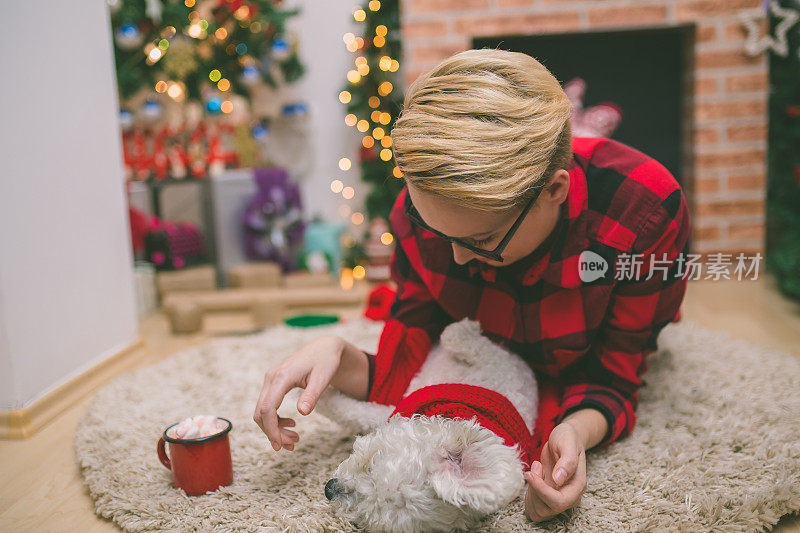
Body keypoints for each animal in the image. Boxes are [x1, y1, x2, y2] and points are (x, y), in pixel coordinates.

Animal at [316, 318, 540, 528]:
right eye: (371, 467)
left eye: (362, 520)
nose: (329, 489)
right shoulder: (491, 359)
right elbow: (462, 340)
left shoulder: (388, 411)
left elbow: (350, 411)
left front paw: (323, 397)